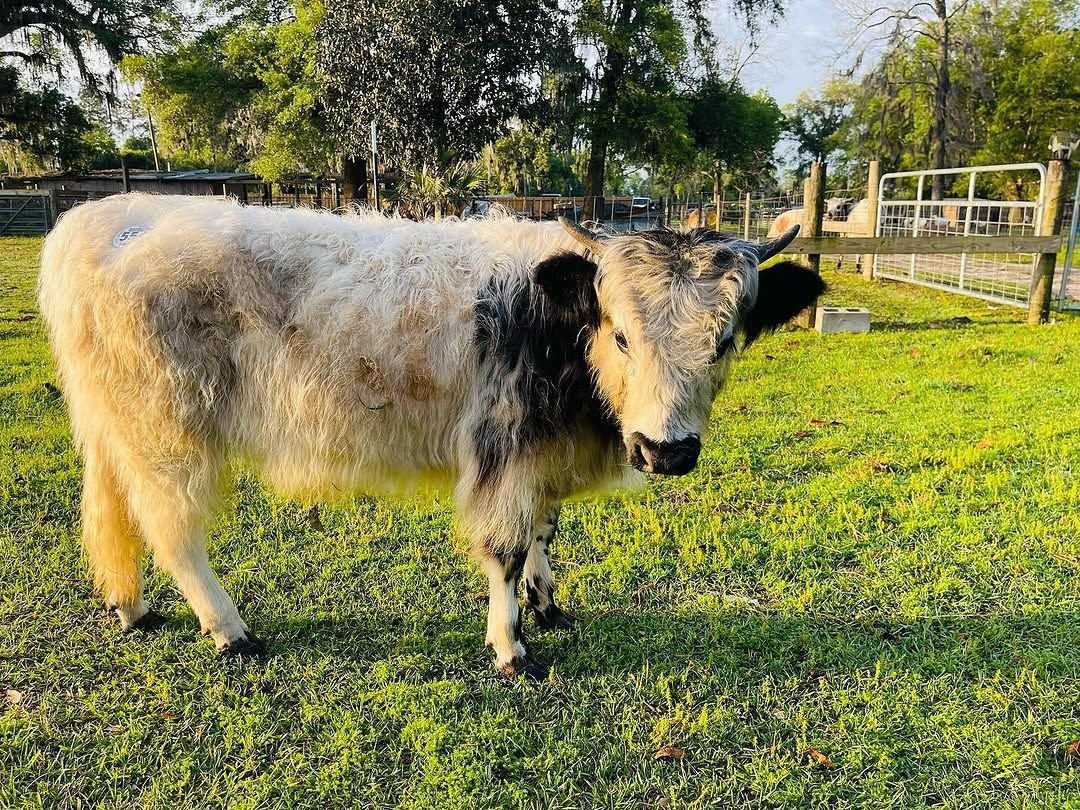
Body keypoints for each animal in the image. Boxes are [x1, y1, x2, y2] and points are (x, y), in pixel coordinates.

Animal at [38, 195, 823, 678]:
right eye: (623, 334)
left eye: (725, 340)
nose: (667, 451)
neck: (551, 322)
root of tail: (104, 218)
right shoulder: (502, 450)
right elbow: (505, 549)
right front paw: (511, 648)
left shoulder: (538, 457)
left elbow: (544, 529)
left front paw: (548, 605)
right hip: (168, 433)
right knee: (172, 530)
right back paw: (231, 630)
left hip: (122, 430)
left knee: (116, 514)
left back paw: (131, 608)